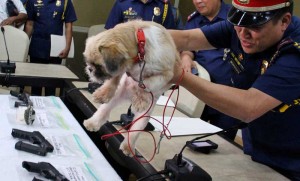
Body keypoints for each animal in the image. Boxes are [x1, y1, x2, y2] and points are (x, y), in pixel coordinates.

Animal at [82, 19, 179, 156]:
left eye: (99, 65)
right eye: (89, 63)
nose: (90, 69)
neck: (140, 48)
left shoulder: (167, 75)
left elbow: (147, 83)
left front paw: (141, 97)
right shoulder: (123, 70)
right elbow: (114, 79)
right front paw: (103, 93)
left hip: (144, 116)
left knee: (134, 130)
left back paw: (128, 146)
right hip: (116, 98)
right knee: (104, 111)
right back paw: (92, 122)